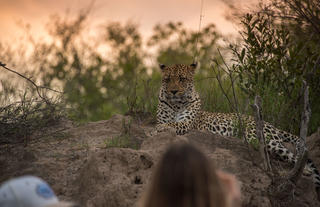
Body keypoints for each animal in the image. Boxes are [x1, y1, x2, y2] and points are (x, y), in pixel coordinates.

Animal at [153, 62, 320, 198]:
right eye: (167, 79)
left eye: (182, 79)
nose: (174, 91)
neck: (176, 104)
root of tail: (271, 124)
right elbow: (167, 123)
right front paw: (157, 128)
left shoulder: (187, 123)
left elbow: (173, 125)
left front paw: (157, 129)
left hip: (260, 137)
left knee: (293, 156)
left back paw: (305, 171)